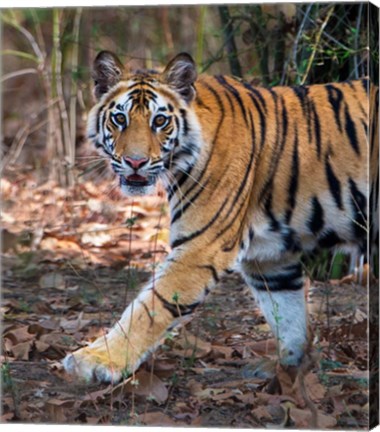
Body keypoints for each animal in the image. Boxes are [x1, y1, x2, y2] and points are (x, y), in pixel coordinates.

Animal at [62, 49, 378, 384]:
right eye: (119, 119)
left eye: (159, 121)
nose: (136, 162)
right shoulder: (270, 257)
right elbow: (287, 313)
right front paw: (288, 370)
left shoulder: (201, 247)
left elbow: (151, 307)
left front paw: (96, 359)